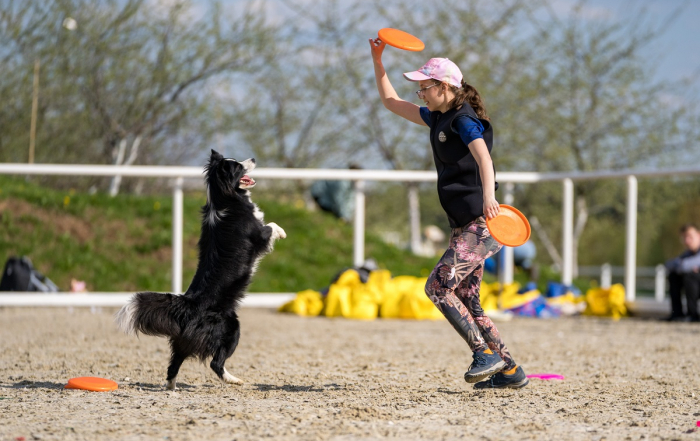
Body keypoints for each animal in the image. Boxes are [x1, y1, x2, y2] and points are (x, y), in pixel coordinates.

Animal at [116, 150, 286, 388]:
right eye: (237, 166)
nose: (253, 158)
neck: (224, 197)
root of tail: (188, 306)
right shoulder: (258, 234)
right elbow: (270, 226)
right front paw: (283, 232)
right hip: (231, 328)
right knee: (216, 363)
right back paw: (235, 380)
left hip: (184, 341)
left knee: (174, 364)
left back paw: (172, 387)